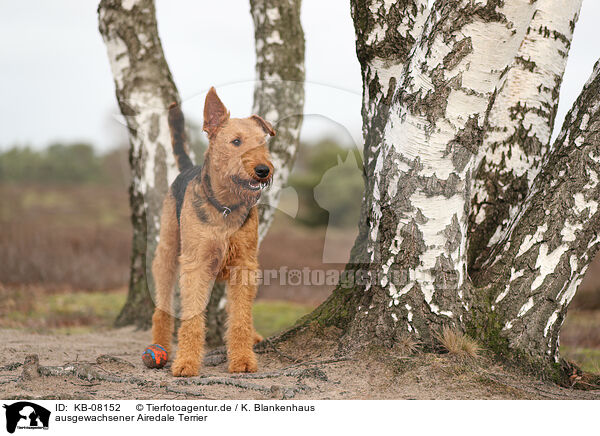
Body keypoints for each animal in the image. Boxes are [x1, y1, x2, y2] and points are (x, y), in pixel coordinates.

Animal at [150, 87, 274, 376]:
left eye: (262, 141)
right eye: (236, 141)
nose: (263, 170)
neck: (226, 206)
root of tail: (187, 167)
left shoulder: (244, 264)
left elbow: (240, 317)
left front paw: (243, 360)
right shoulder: (195, 263)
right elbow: (193, 318)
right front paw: (186, 363)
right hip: (168, 253)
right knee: (162, 307)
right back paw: (161, 346)